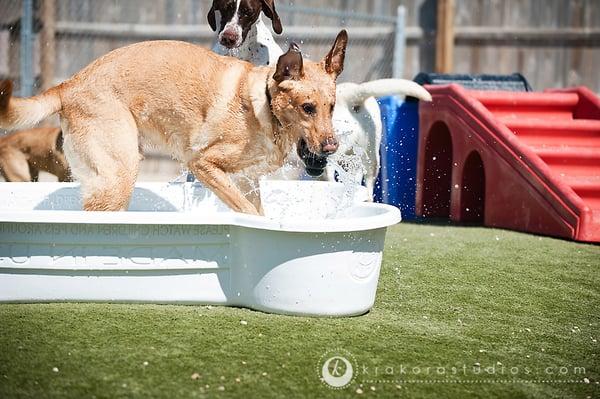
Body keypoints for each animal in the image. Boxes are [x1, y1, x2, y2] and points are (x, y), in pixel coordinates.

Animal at [0, 30, 346, 216]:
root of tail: (68, 85)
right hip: (118, 176)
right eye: (307, 108)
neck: (263, 105)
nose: (332, 148)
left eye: (331, 107)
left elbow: (256, 209)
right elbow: (247, 212)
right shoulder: (203, 164)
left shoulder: (247, 181)